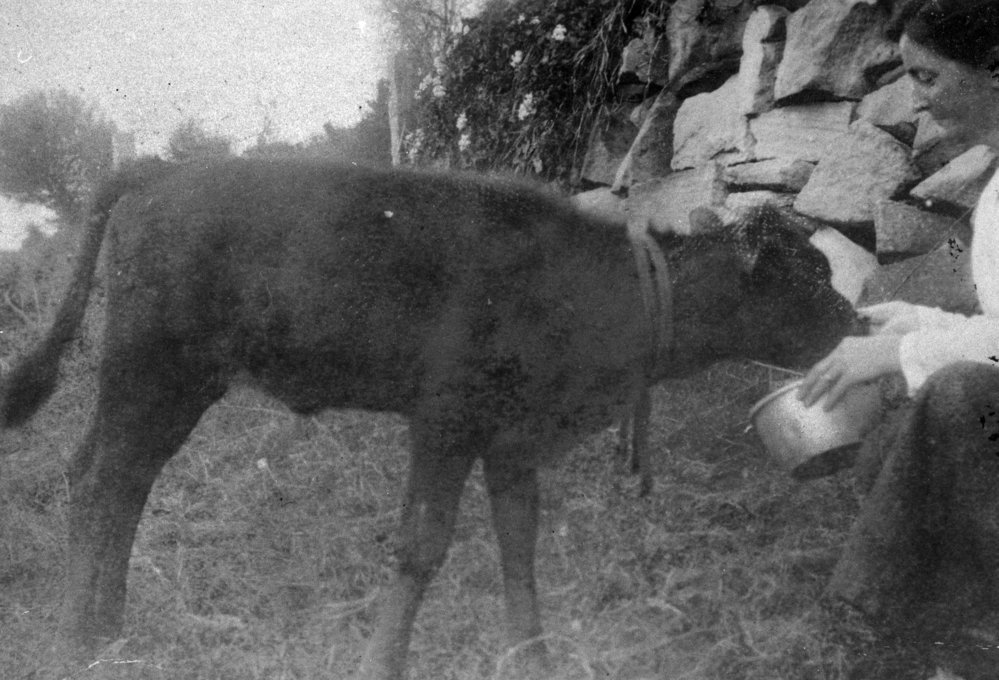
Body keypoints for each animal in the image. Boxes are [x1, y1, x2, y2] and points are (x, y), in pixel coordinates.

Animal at [0, 157, 857, 680]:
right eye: (809, 278)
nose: (852, 318)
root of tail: (165, 169)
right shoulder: (445, 419)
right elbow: (421, 546)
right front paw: (381, 663)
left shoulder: (512, 440)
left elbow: (518, 545)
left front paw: (532, 654)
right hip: (152, 370)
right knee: (101, 477)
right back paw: (75, 640)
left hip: (176, 385)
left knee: (118, 478)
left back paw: (110, 627)